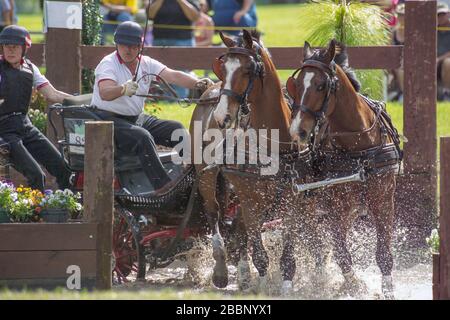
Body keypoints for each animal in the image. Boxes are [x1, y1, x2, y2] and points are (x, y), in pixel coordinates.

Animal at [190, 30, 320, 292]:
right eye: (223, 68)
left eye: (248, 70)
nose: (221, 115)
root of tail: (209, 90)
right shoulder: (250, 201)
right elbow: (259, 253)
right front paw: (261, 285)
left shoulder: (292, 202)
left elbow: (287, 253)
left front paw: (285, 286)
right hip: (207, 177)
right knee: (214, 213)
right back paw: (221, 270)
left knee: (238, 228)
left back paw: (243, 275)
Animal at [286, 39, 402, 298]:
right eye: (296, 85)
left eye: (321, 86)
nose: (297, 131)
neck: (359, 146)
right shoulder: (336, 209)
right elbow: (342, 254)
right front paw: (354, 286)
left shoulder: (384, 202)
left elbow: (384, 254)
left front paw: (387, 290)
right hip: (304, 204)